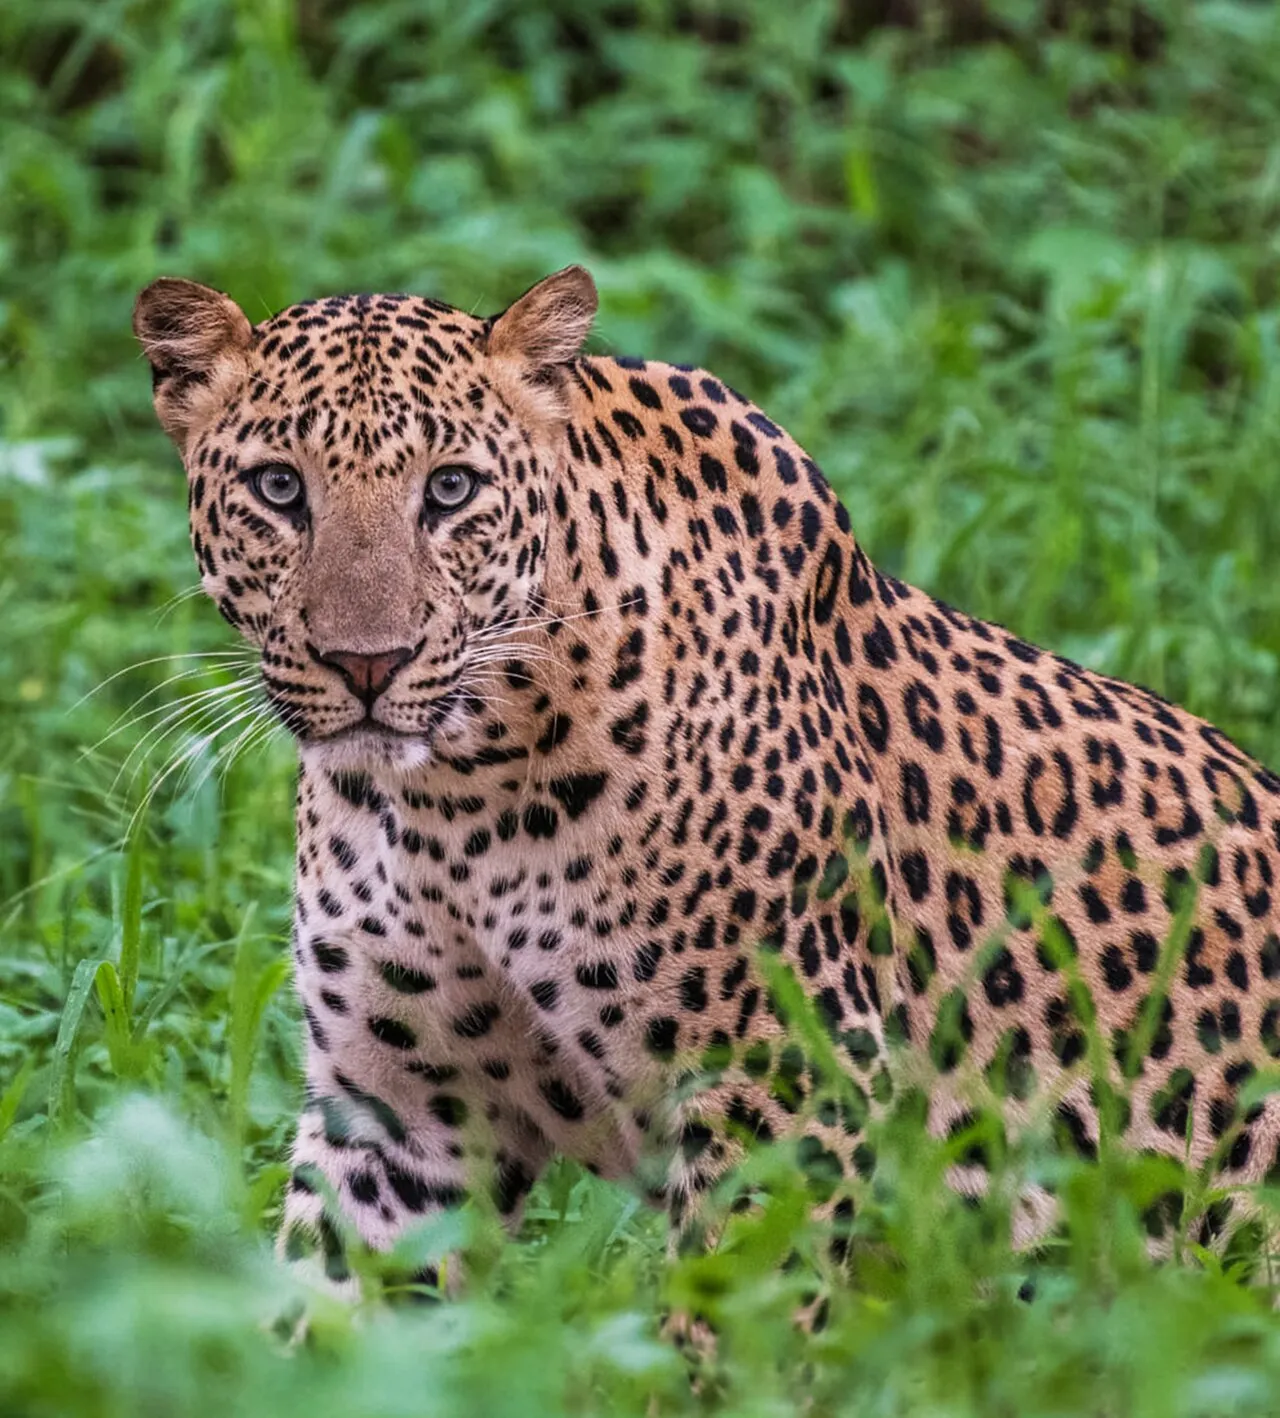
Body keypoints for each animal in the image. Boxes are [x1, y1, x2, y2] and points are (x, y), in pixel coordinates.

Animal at [132, 264, 1280, 1295]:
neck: (455, 801)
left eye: (449, 489)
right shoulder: (398, 1114)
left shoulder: (784, 1096)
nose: (366, 663)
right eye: (279, 488)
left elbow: (733, 1324)